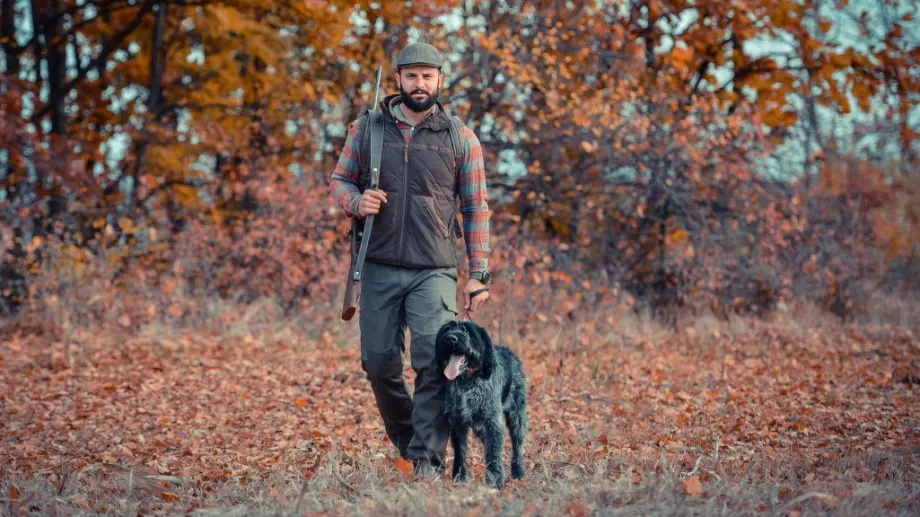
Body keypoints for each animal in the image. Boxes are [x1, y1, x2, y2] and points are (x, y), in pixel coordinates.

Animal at [434, 318, 528, 488]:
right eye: (447, 329)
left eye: (467, 331)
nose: (450, 339)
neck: (467, 382)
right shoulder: (457, 423)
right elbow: (461, 452)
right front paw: (460, 478)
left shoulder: (493, 422)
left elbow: (493, 452)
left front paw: (495, 482)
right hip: (481, 428)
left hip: (516, 417)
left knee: (517, 446)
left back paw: (518, 472)